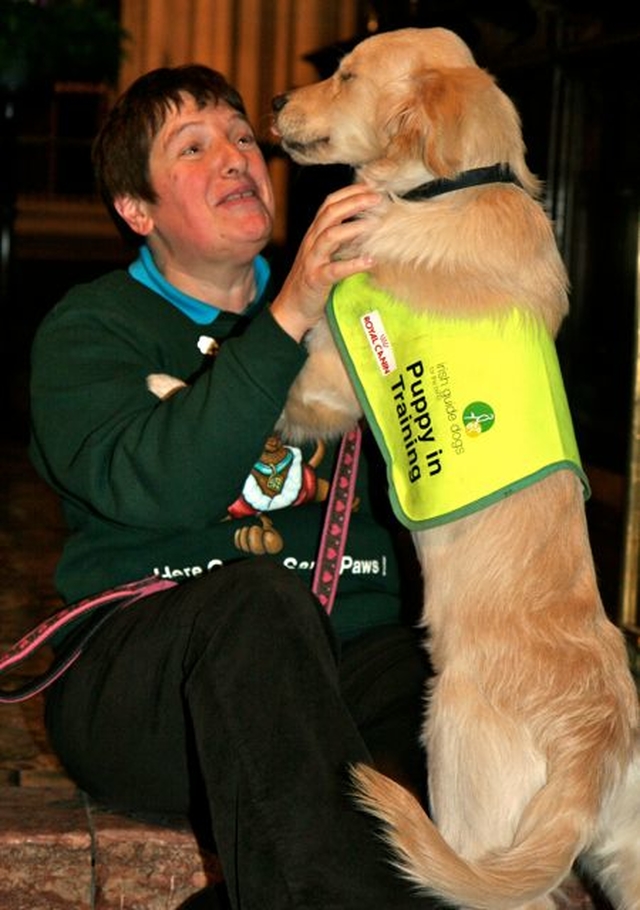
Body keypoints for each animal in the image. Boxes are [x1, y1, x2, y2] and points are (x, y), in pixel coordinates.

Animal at [272, 26, 640, 910]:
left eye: (344, 75)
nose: (273, 101)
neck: (450, 188)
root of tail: (595, 744)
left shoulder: (328, 376)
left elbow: (284, 395)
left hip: (467, 805)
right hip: (629, 856)